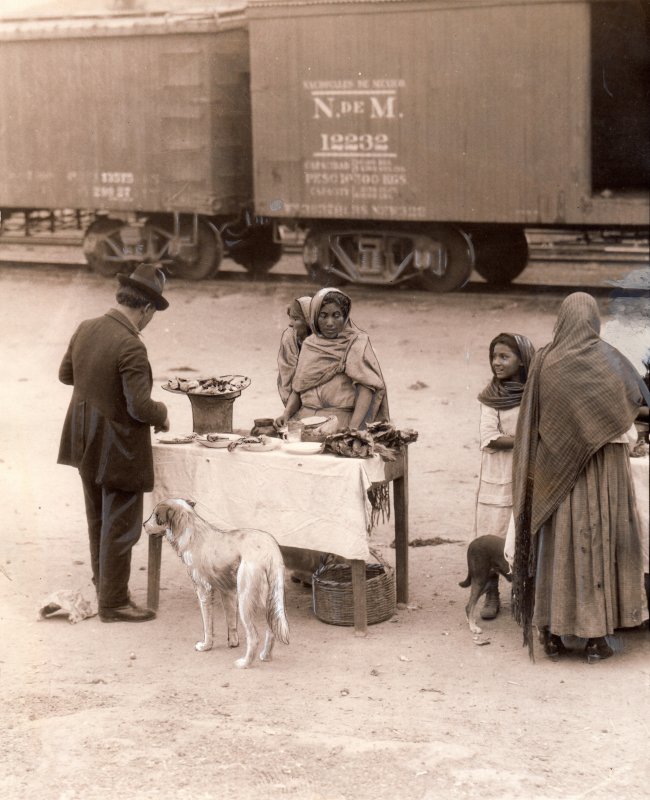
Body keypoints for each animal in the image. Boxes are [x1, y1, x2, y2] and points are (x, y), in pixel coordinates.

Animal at [147, 500, 292, 668]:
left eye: (155, 515)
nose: (143, 525)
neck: (191, 533)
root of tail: (270, 551)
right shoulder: (227, 592)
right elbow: (231, 622)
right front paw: (233, 643)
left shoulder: (204, 591)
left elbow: (208, 625)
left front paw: (206, 646)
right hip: (268, 600)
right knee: (272, 629)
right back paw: (265, 656)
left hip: (246, 601)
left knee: (254, 637)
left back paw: (245, 663)